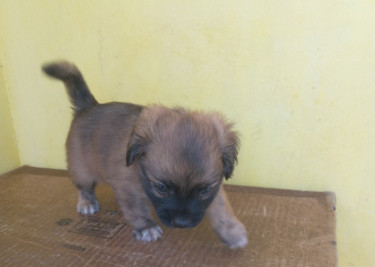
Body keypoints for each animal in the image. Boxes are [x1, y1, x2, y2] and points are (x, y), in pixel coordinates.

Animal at [42, 60, 248, 249]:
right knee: (84, 187)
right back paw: (86, 202)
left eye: (204, 191)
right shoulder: (129, 189)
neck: (139, 170)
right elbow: (138, 210)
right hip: (81, 169)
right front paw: (146, 227)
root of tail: (88, 107)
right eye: (161, 188)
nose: (181, 224)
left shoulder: (214, 188)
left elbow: (222, 208)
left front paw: (232, 232)